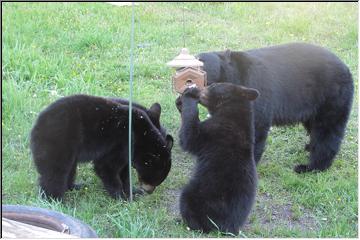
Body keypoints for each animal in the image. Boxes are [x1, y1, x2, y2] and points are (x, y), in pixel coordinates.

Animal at [30, 94, 174, 200]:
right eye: (154, 179)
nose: (149, 191)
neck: (141, 134)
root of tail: (36, 126)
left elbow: (124, 171)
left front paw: (132, 191)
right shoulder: (121, 142)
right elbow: (106, 166)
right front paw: (121, 196)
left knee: (69, 169)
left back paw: (74, 186)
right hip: (59, 141)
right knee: (55, 172)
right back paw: (55, 199)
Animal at [176, 83, 258, 234]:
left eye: (212, 85)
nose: (198, 89)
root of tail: (223, 228)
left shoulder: (214, 131)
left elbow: (190, 136)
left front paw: (189, 94)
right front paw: (180, 101)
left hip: (200, 195)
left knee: (187, 201)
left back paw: (187, 223)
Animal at [198, 42, 356, 172]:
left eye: (202, 62)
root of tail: (347, 69)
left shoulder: (255, 93)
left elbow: (257, 128)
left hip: (332, 97)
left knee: (327, 131)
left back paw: (311, 167)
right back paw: (310, 147)